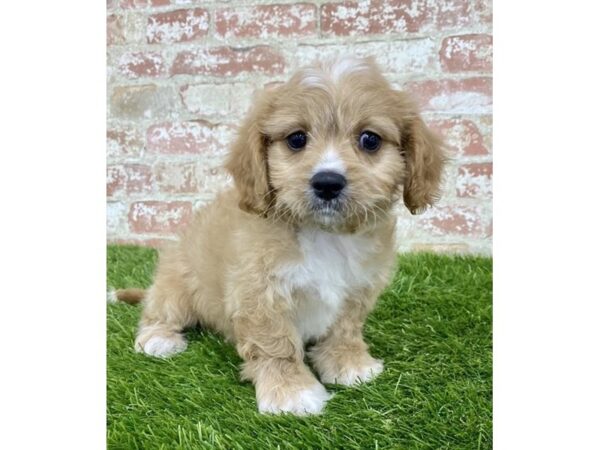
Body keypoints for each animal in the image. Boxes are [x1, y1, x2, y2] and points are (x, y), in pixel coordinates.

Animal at [116, 57, 446, 418]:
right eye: (297, 139)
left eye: (370, 140)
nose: (327, 182)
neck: (325, 235)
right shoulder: (259, 293)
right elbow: (276, 345)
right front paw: (290, 392)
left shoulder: (357, 288)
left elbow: (344, 329)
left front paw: (349, 363)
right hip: (176, 286)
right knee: (159, 311)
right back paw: (158, 338)